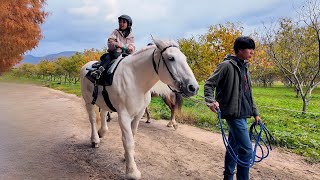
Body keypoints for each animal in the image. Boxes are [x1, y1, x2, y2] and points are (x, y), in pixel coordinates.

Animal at [80, 38, 198, 179]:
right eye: (171, 58)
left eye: (185, 58)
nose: (193, 87)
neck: (135, 80)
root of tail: (87, 66)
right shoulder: (124, 116)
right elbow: (128, 141)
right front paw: (132, 171)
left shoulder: (137, 114)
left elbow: (133, 135)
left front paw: (128, 157)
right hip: (88, 101)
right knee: (92, 119)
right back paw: (95, 140)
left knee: (103, 112)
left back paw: (102, 132)